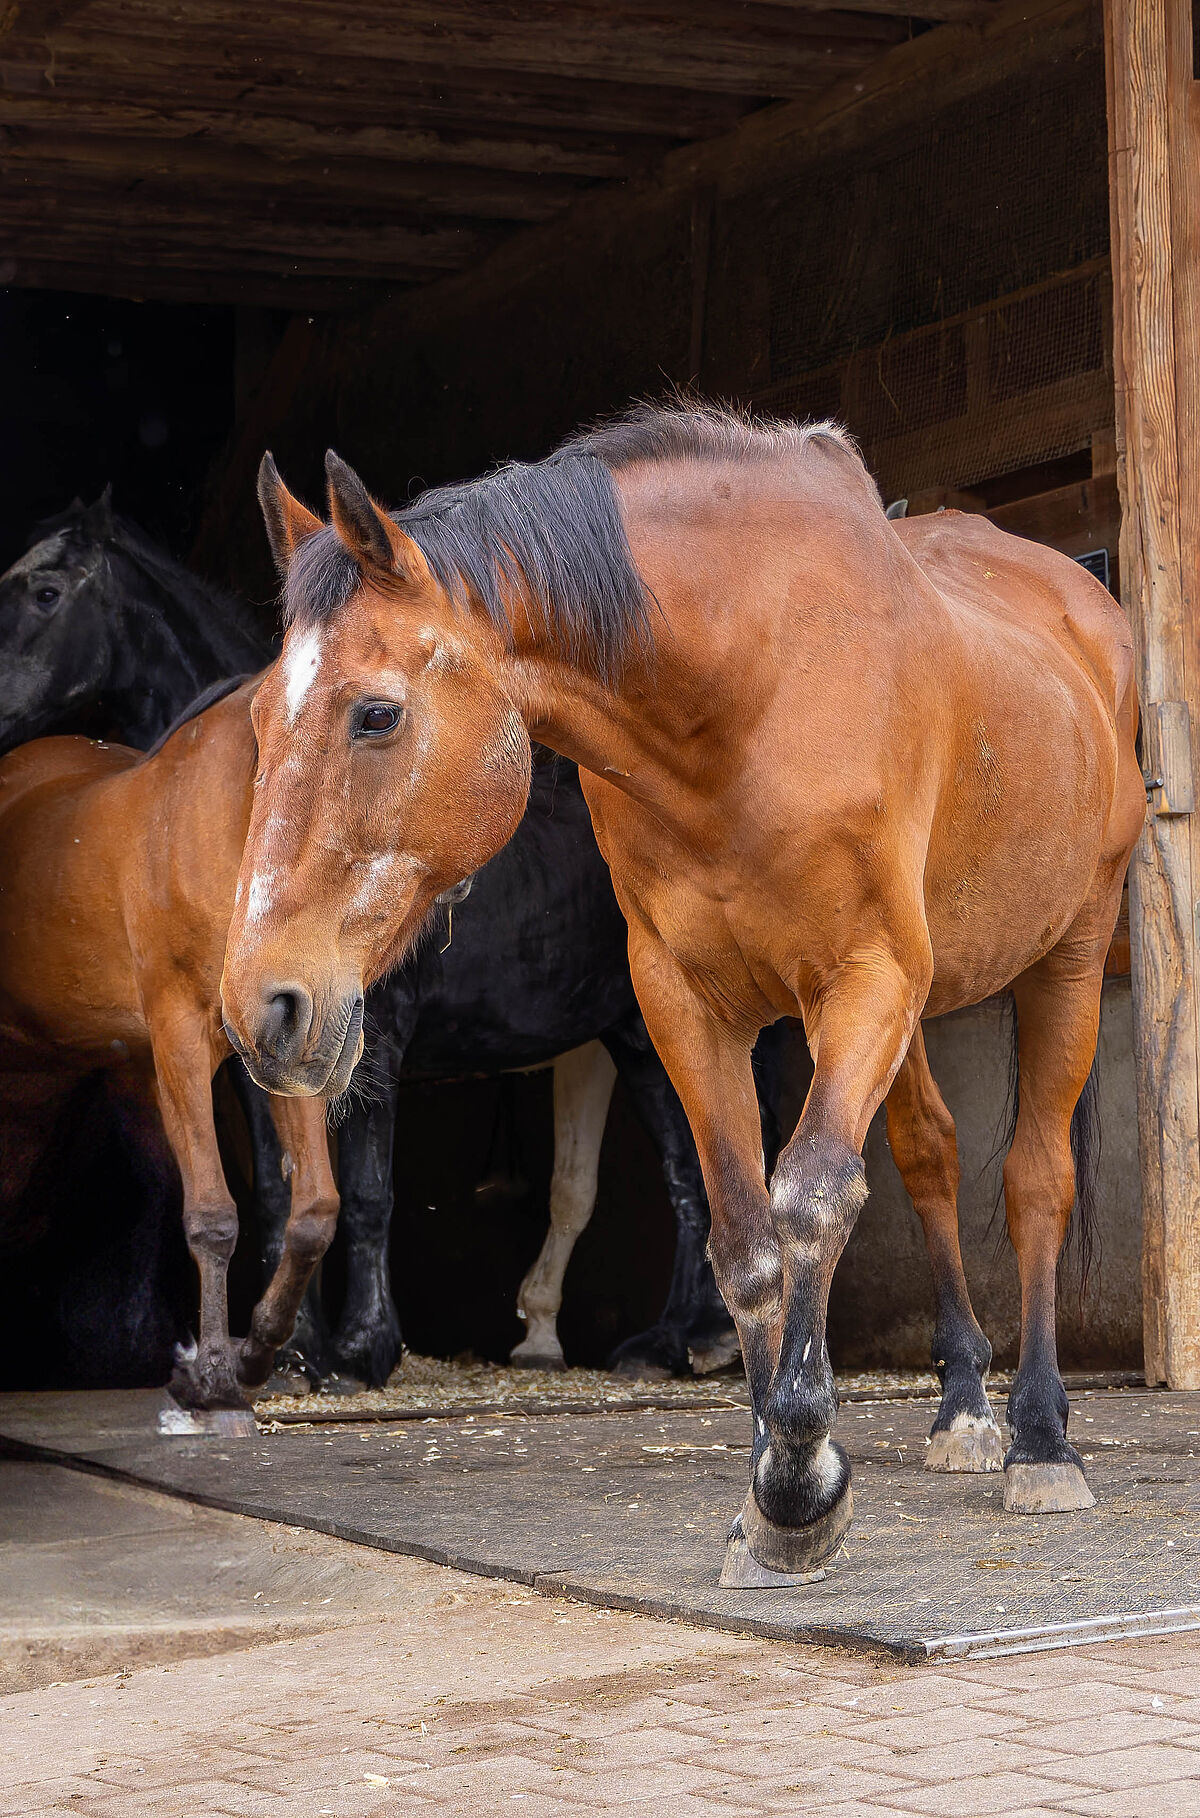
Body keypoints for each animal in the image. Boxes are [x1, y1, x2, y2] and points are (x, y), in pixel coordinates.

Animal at [0, 679, 338, 1403]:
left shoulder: (282, 1044)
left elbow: (314, 1212)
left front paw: (257, 1352)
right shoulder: (178, 1038)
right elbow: (212, 1215)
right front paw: (212, 1373)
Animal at [227, 405, 1141, 1585]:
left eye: (375, 715)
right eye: (257, 721)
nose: (262, 1006)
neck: (745, 692)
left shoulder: (865, 981)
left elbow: (812, 1196)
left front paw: (800, 1476)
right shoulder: (685, 1009)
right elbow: (744, 1236)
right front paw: (774, 1494)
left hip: (1067, 954)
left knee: (1034, 1181)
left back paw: (1040, 1438)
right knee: (933, 1157)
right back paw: (963, 1408)